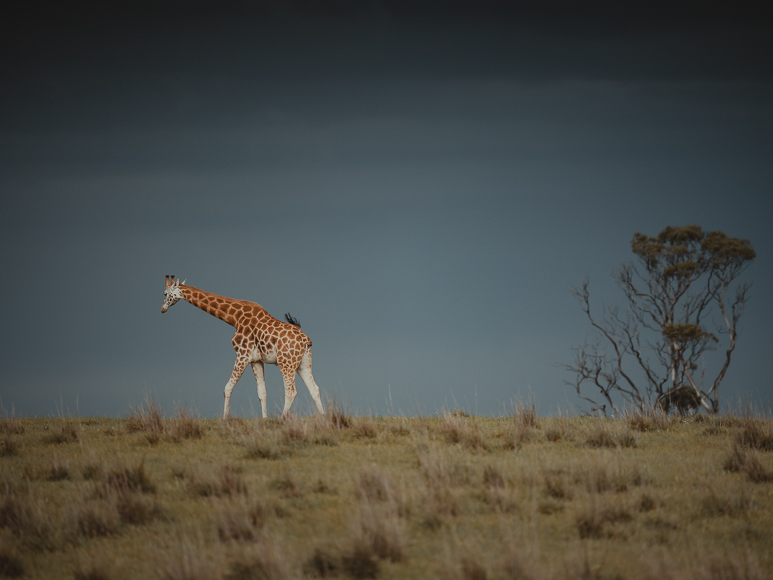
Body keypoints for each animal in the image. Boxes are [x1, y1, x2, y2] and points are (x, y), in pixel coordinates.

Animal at [161, 275, 325, 419]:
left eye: (165, 293)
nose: (162, 309)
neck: (234, 318)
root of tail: (305, 339)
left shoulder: (242, 354)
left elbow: (227, 388)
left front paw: (224, 419)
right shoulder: (256, 360)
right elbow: (262, 393)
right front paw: (265, 419)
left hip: (286, 363)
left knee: (291, 391)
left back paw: (283, 418)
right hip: (303, 363)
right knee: (314, 389)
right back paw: (324, 417)